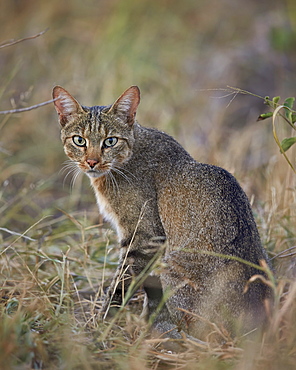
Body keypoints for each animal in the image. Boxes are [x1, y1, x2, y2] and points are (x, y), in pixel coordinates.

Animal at [52, 85, 272, 340]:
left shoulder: (144, 238)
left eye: (110, 141)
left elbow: (121, 286)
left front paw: (103, 324)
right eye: (79, 140)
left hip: (173, 266)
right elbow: (149, 291)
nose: (91, 162)